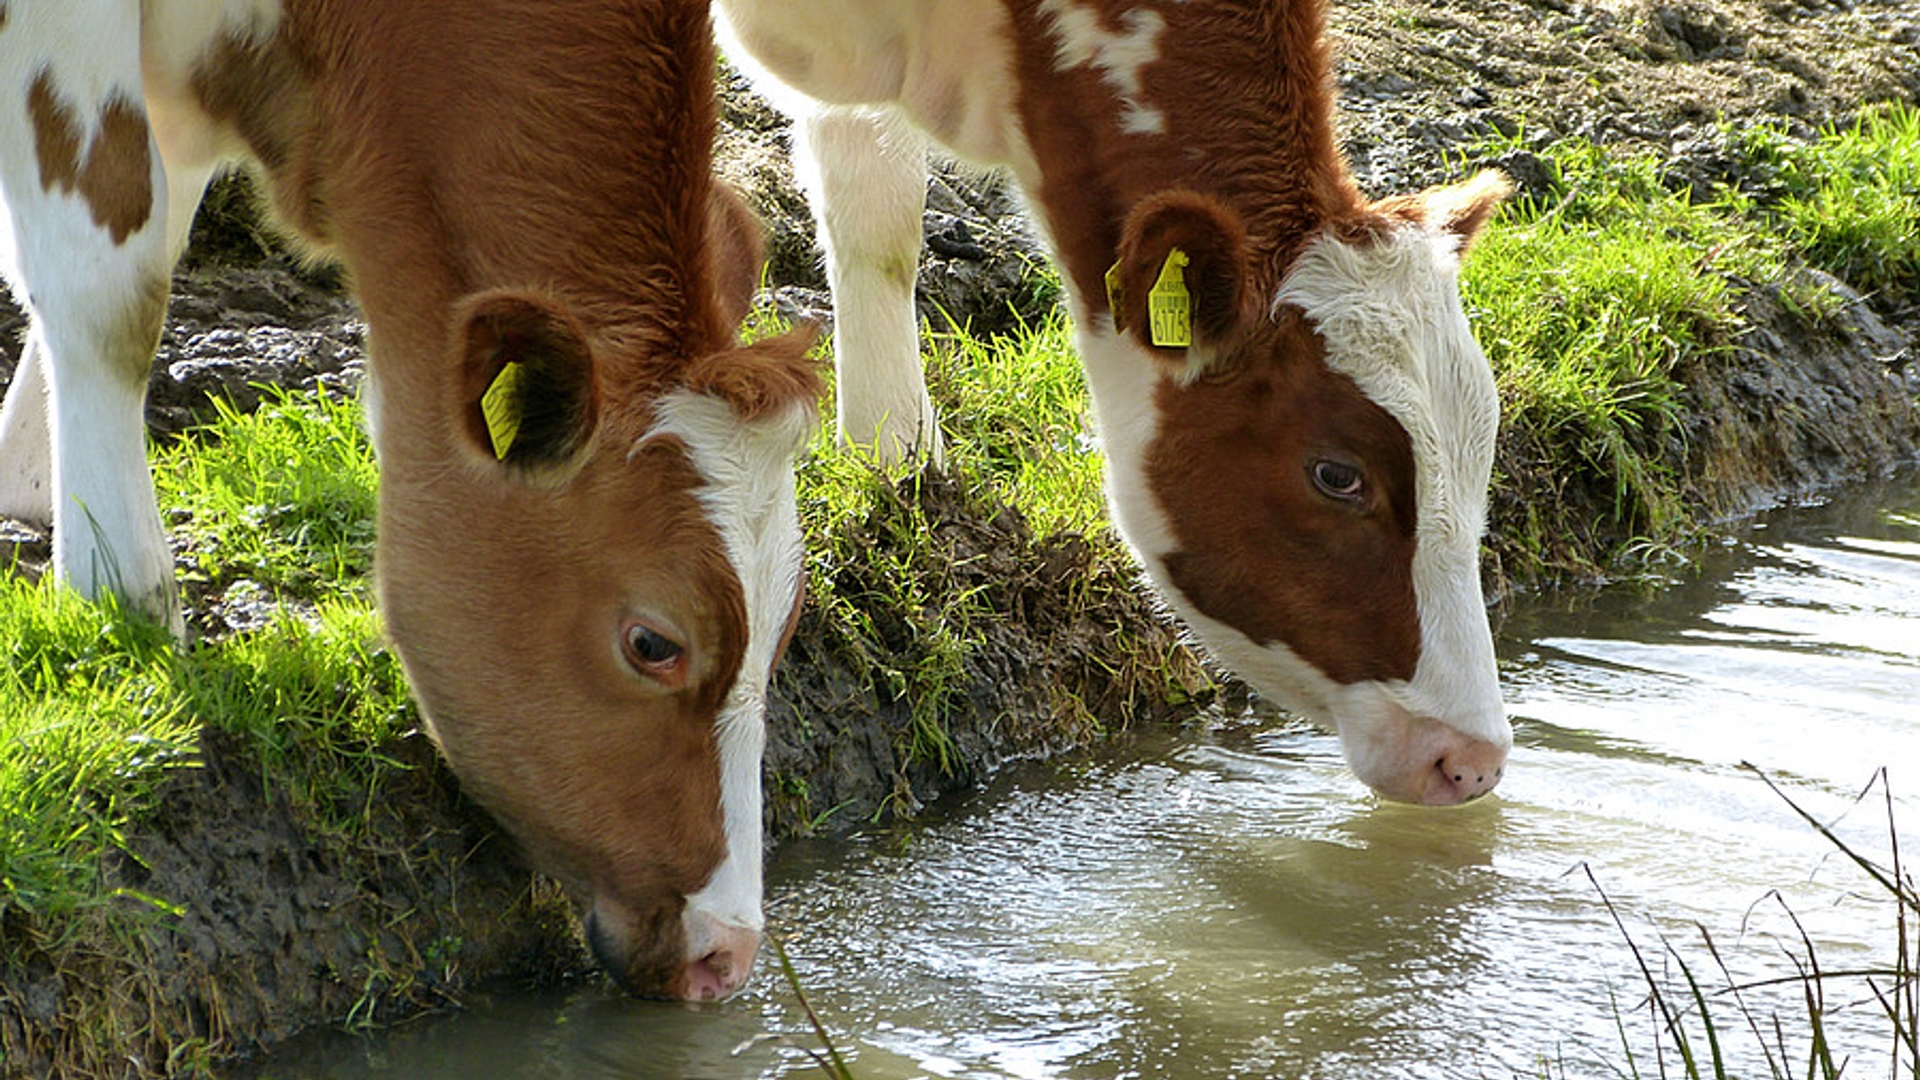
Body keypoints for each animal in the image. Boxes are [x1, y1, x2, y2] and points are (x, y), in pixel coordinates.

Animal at [0, 0, 817, 999]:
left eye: (786, 628)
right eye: (653, 643)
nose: (725, 953)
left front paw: (28, 485)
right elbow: (113, 284)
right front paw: (122, 597)